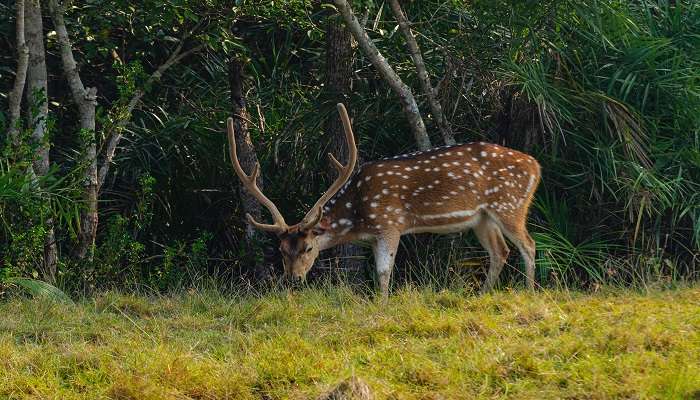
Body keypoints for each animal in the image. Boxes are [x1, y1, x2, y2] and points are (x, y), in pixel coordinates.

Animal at [230, 103, 540, 296]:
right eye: (281, 250)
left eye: (308, 248)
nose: (293, 279)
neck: (358, 216)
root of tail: (536, 166)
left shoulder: (390, 223)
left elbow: (382, 272)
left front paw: (382, 306)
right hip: (482, 217)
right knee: (500, 251)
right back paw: (481, 294)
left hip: (509, 204)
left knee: (528, 244)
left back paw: (528, 291)